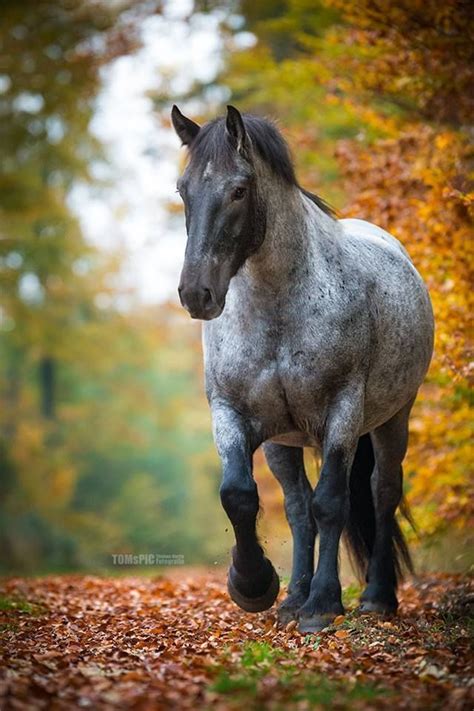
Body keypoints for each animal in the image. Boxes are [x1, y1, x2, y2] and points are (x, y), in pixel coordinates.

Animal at [170, 105, 434, 636]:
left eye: (239, 190)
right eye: (183, 190)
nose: (196, 294)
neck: (279, 307)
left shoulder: (341, 414)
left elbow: (332, 503)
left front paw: (323, 606)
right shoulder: (233, 414)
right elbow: (240, 495)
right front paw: (254, 586)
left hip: (392, 419)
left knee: (381, 492)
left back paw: (375, 597)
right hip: (283, 442)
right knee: (296, 508)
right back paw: (292, 598)